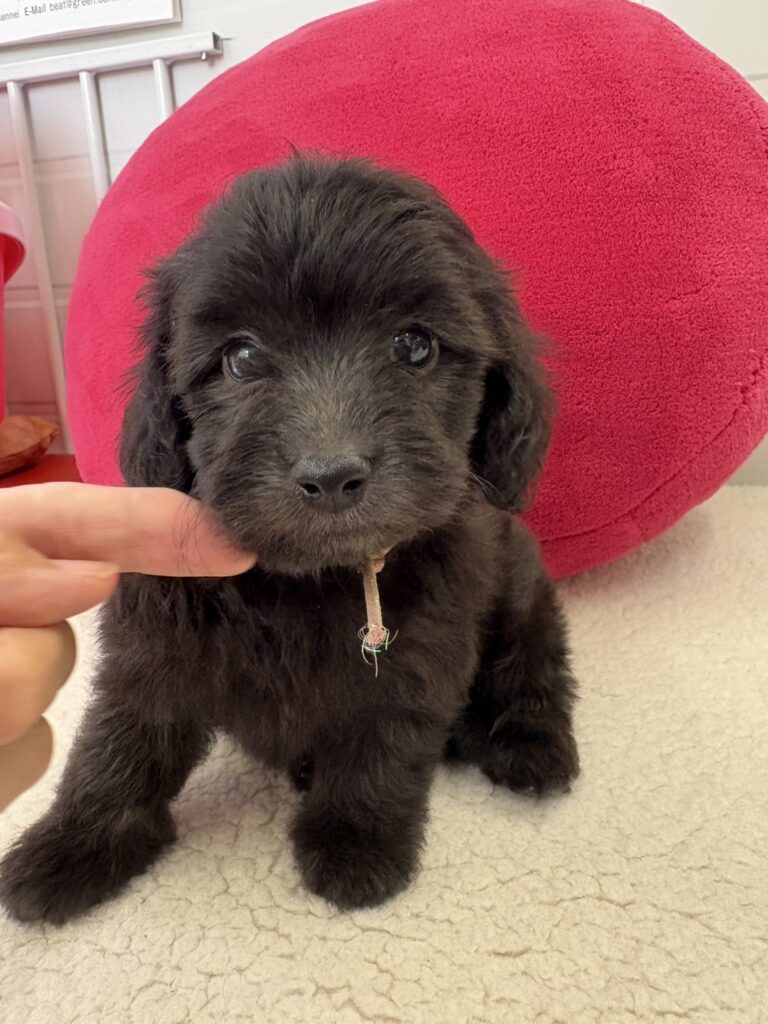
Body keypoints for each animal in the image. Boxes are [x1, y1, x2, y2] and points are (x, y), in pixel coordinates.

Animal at [0, 156, 578, 923]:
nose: (330, 474)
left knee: (533, 663)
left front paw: (357, 844)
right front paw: (73, 847)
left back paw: (528, 745)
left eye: (415, 345)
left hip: (520, 587)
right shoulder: (157, 637)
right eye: (242, 357)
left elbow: (383, 738)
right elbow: (120, 739)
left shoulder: (420, 648)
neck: (308, 580)